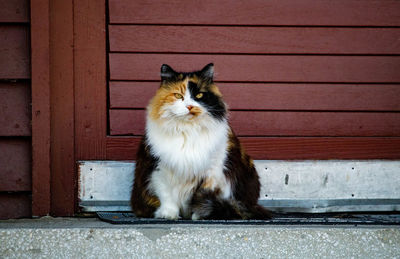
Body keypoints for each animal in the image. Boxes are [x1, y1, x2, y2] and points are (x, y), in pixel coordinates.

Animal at [131, 64, 272, 220]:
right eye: (178, 96)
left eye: (199, 95)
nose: (190, 106)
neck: (188, 131)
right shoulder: (159, 168)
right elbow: (167, 195)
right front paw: (169, 214)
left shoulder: (212, 171)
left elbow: (201, 196)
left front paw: (198, 215)